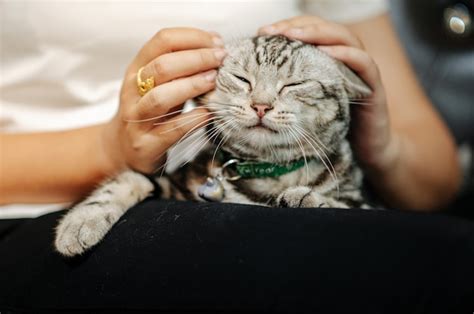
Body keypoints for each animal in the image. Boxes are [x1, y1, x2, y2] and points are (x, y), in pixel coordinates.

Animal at [55, 34, 372, 256]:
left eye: (294, 85)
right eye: (242, 79)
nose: (261, 105)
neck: (266, 172)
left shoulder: (360, 198)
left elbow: (350, 206)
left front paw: (306, 197)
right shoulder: (176, 185)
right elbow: (127, 181)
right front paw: (80, 222)